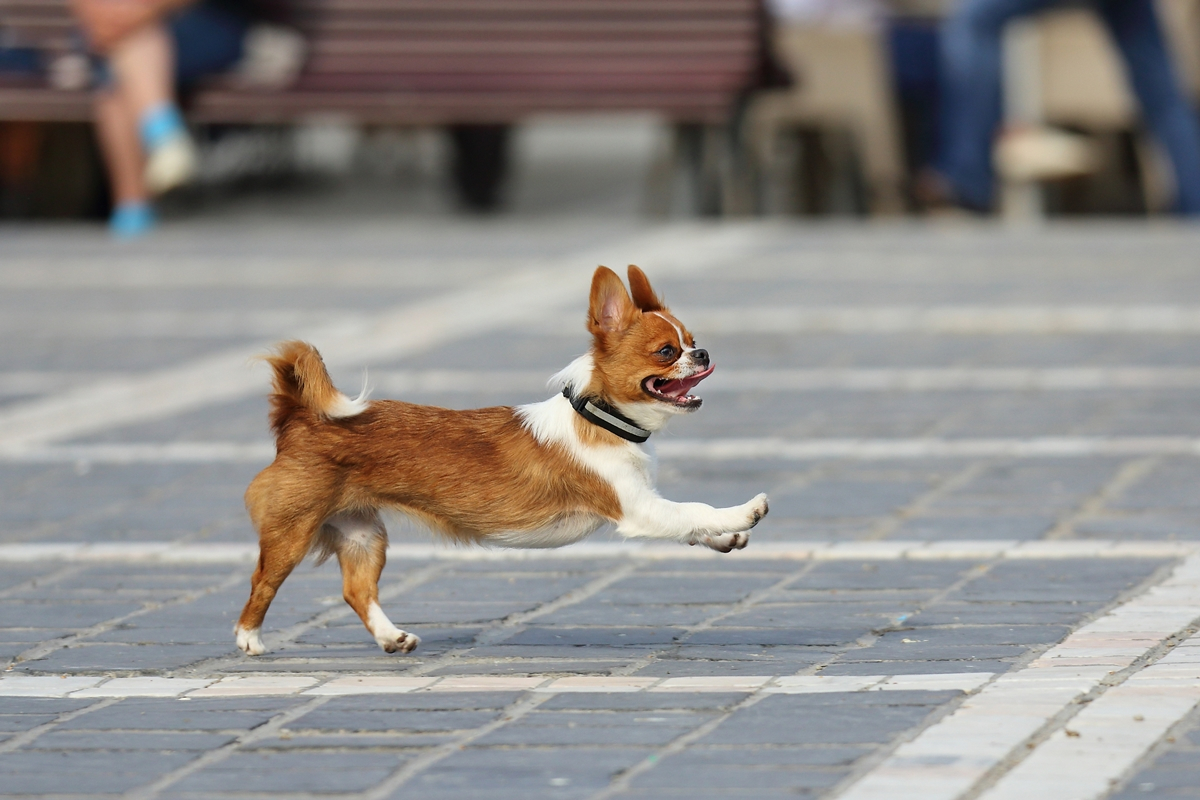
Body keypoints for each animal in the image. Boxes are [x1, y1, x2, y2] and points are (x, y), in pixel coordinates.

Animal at [236, 267, 768, 657]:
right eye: (666, 351)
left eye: (692, 340)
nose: (703, 353)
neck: (603, 418)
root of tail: (299, 418)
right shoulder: (638, 510)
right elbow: (694, 510)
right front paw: (744, 513)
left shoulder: (649, 504)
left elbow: (691, 522)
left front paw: (726, 537)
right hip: (293, 532)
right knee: (262, 582)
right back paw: (250, 640)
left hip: (362, 534)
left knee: (357, 591)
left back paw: (392, 637)